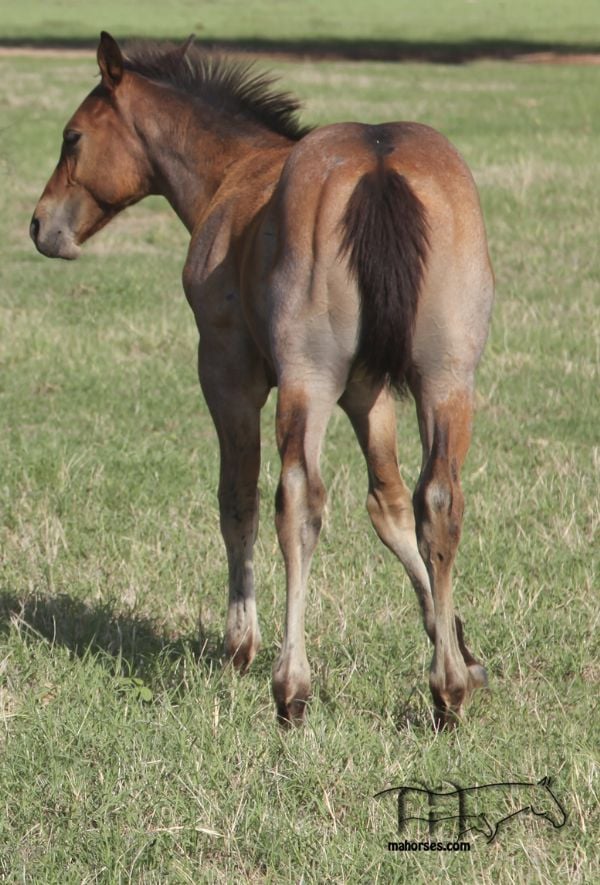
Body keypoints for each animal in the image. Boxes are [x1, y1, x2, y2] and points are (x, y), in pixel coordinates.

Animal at [30, 32, 494, 724]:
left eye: (72, 137)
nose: (41, 225)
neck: (236, 176)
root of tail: (378, 163)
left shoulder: (228, 372)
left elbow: (238, 499)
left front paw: (239, 644)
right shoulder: (368, 391)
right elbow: (389, 505)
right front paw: (455, 641)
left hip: (307, 378)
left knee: (298, 498)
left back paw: (291, 686)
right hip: (446, 379)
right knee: (439, 498)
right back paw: (448, 692)